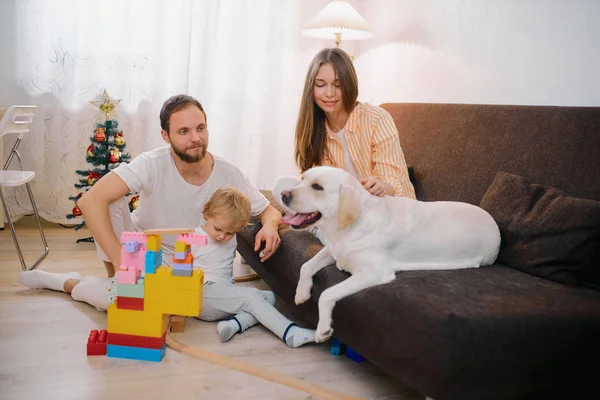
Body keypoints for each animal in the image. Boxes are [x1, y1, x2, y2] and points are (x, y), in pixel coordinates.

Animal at [272, 167, 502, 342]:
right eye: (303, 179)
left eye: (317, 187)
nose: (284, 195)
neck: (349, 225)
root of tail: (495, 224)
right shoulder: (333, 250)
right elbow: (306, 266)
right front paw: (302, 292)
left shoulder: (373, 272)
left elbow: (327, 294)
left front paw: (323, 329)